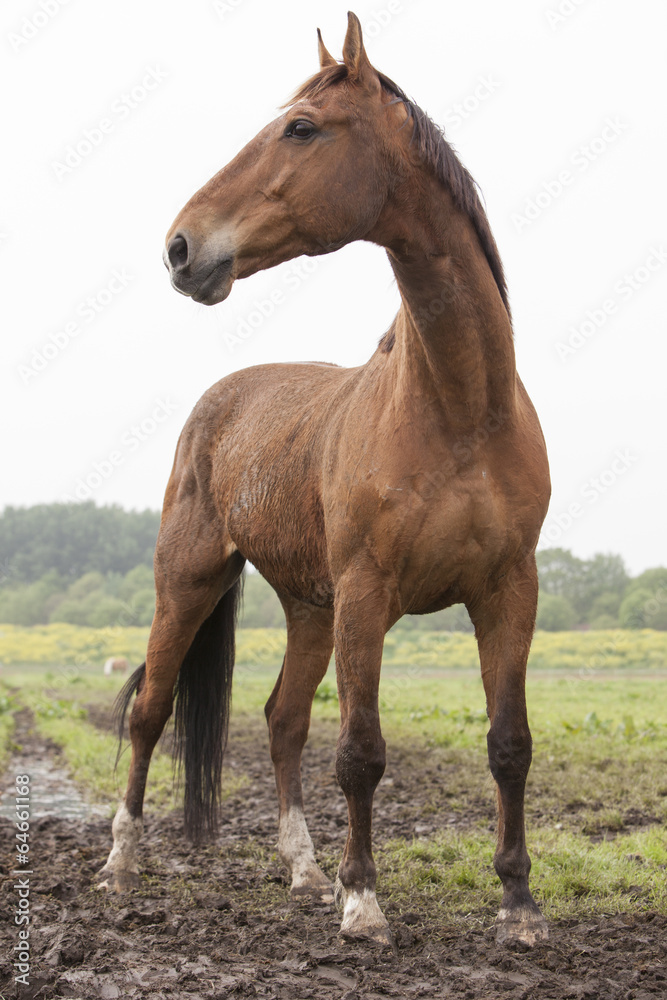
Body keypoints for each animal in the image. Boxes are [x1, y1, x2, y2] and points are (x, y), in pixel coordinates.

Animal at [99, 12, 551, 948]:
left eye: (301, 128)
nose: (180, 248)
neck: (459, 410)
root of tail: (220, 398)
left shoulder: (508, 590)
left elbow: (507, 743)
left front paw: (518, 905)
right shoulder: (368, 593)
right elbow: (361, 752)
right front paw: (364, 903)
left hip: (309, 607)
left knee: (282, 720)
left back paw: (301, 869)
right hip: (190, 581)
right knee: (150, 711)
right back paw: (122, 863)